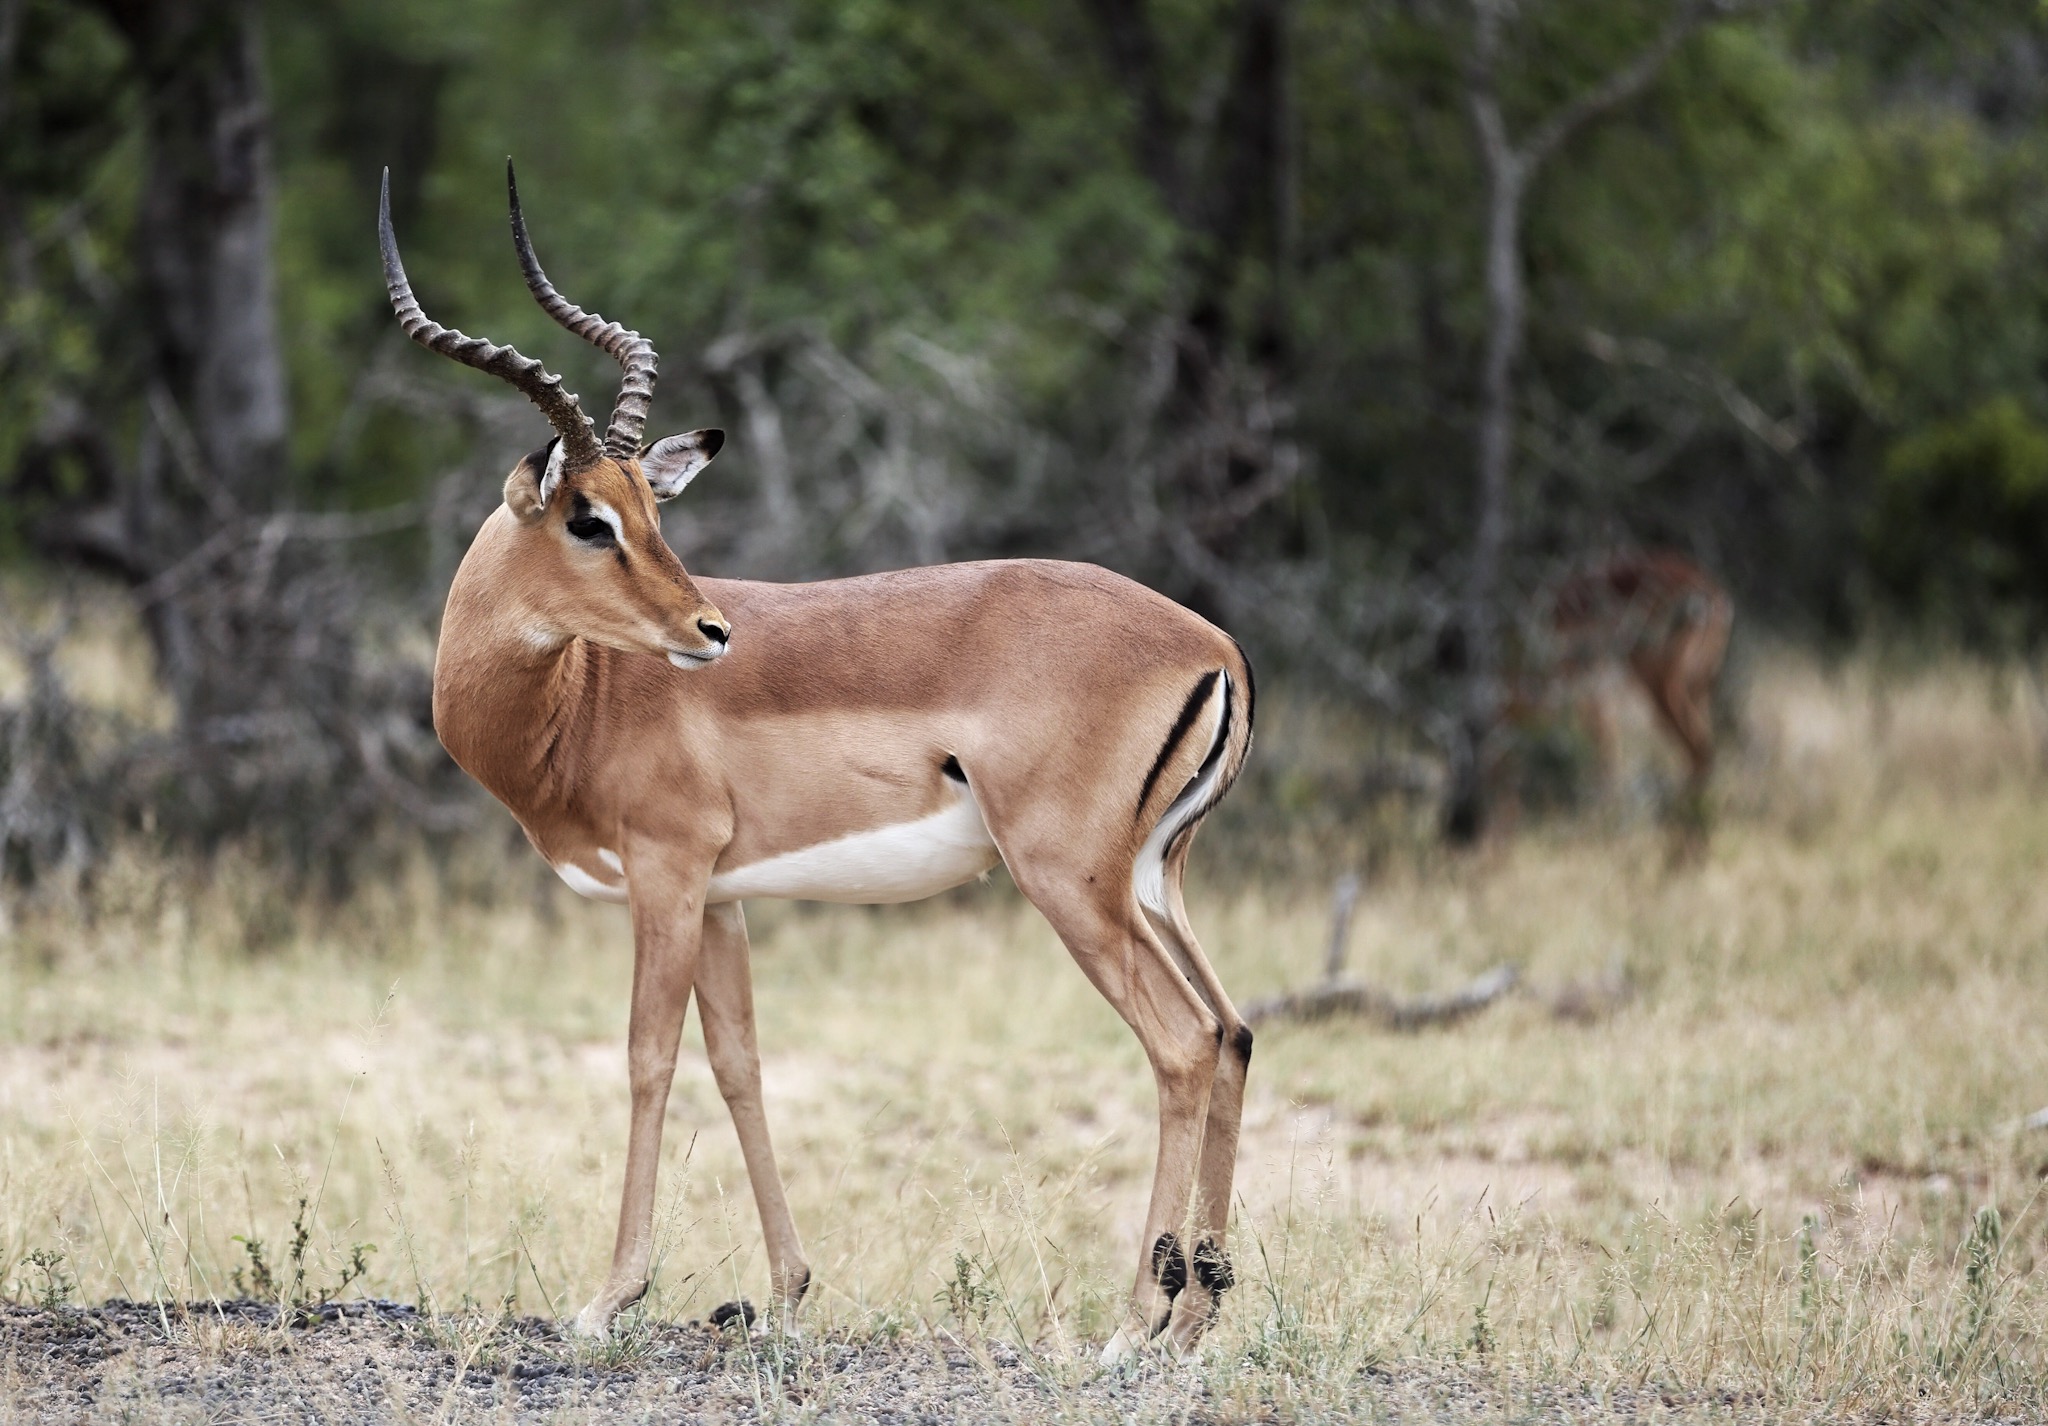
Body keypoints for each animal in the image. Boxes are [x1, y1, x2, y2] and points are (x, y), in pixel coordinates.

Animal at [379, 165, 1255, 1361]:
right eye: (591, 516)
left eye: (644, 511)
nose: (709, 631)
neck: (582, 701)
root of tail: (1213, 646)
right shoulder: (723, 897)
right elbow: (740, 1065)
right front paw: (787, 1291)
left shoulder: (664, 876)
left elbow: (647, 1060)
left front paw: (606, 1301)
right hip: (1155, 880)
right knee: (1234, 1030)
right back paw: (1194, 1316)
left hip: (1068, 881)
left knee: (1181, 1044)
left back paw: (1129, 1326)